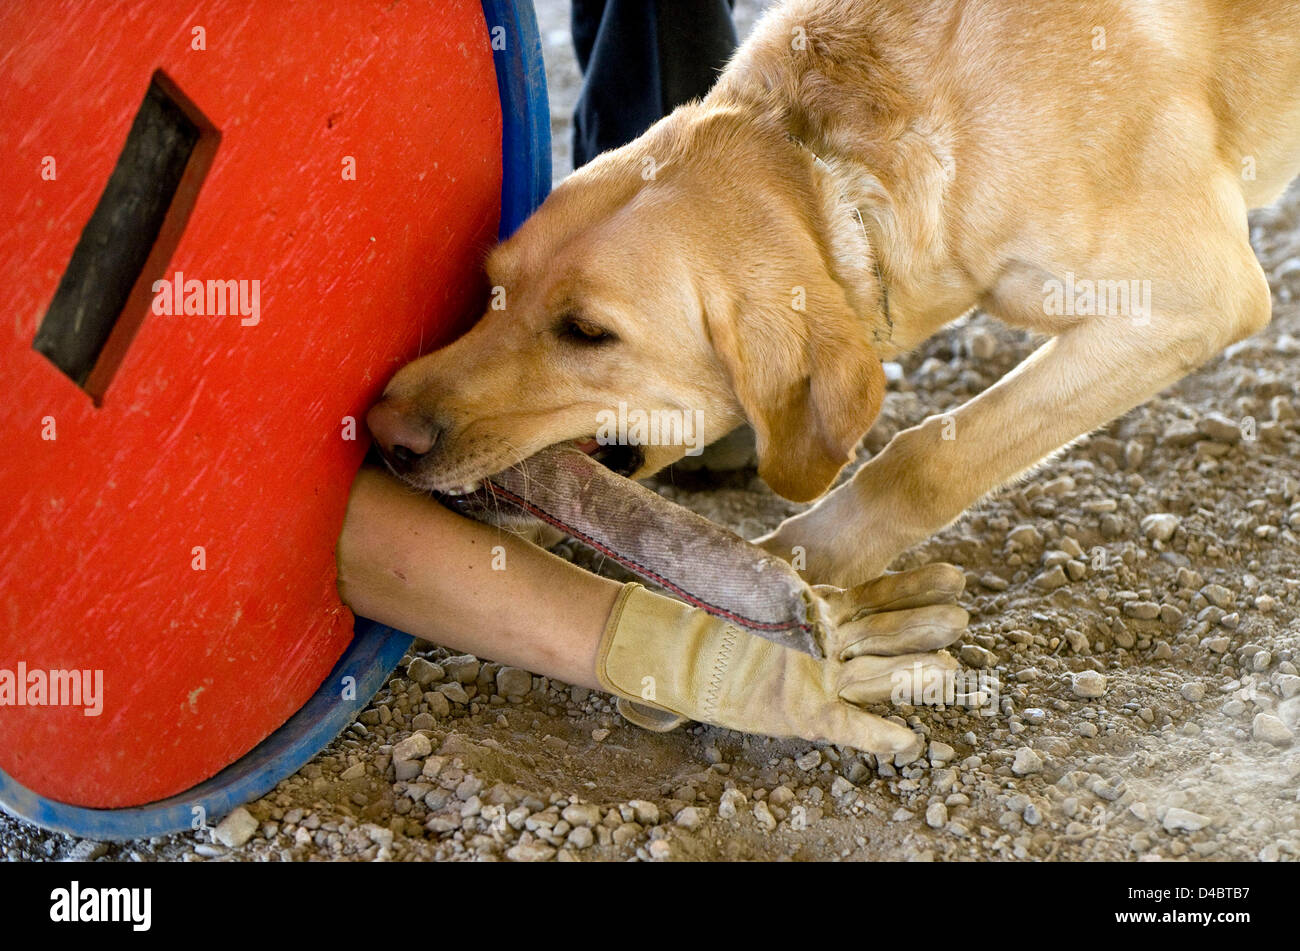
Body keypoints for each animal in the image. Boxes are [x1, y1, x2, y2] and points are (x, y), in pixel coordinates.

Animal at [366, 0, 1300, 587]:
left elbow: (927, 457)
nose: (379, 430)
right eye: (493, 286)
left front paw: (804, 561)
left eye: (589, 332)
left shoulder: (1197, 297)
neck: (823, 156)